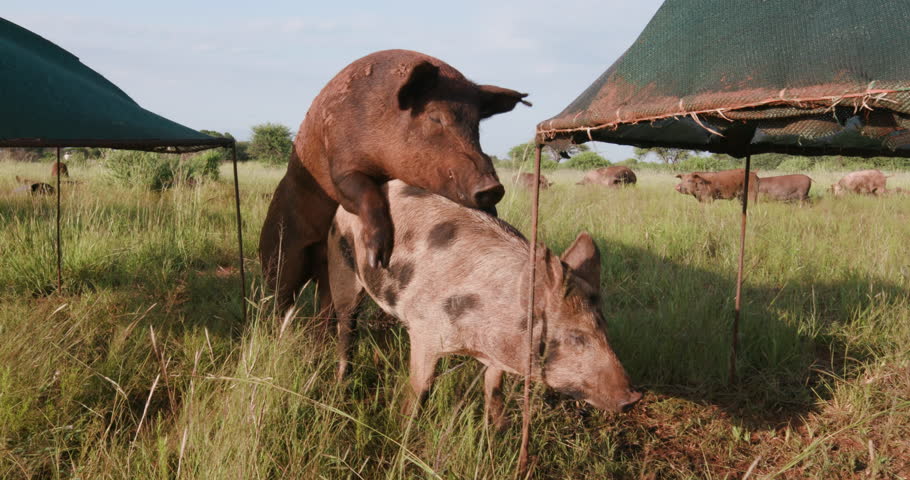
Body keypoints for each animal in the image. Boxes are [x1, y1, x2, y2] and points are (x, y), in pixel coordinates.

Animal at [260, 49, 532, 308]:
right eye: (435, 117)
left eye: (476, 126)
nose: (493, 187)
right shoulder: (340, 166)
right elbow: (365, 192)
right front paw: (377, 258)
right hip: (278, 253)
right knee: (279, 295)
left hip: (329, 272)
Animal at [328, 180, 640, 428]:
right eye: (576, 336)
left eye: (605, 328)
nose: (634, 397)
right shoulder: (424, 331)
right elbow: (421, 388)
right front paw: (404, 431)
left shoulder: (497, 356)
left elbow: (495, 386)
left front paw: (500, 430)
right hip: (341, 267)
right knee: (346, 326)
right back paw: (342, 382)